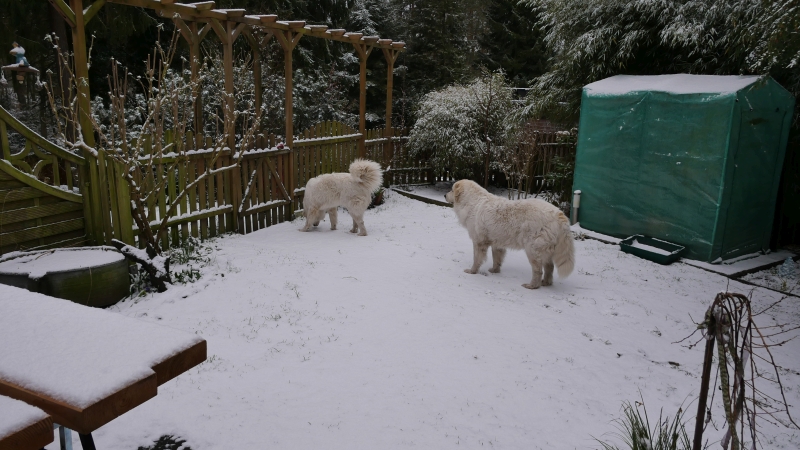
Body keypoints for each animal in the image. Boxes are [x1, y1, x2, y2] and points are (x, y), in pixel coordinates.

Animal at [444, 181, 576, 290]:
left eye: (451, 190)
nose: (444, 195)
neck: (472, 202)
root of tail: (559, 214)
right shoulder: (496, 243)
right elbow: (497, 259)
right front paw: (495, 271)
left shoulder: (479, 242)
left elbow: (477, 259)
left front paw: (472, 271)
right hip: (545, 251)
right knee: (550, 268)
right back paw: (546, 283)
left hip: (532, 250)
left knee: (538, 271)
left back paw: (532, 286)